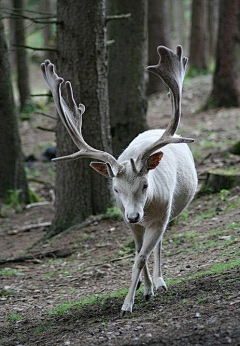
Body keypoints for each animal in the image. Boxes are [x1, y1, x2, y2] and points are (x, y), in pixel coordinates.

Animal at [41, 46, 198, 316]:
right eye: (115, 189)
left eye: (145, 185)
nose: (134, 215)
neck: (146, 209)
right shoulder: (128, 221)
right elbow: (136, 252)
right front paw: (144, 290)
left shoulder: (160, 216)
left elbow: (141, 257)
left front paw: (127, 304)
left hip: (167, 214)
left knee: (159, 243)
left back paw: (161, 281)